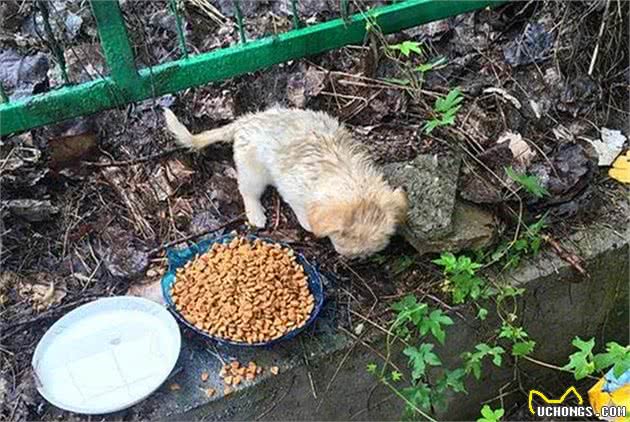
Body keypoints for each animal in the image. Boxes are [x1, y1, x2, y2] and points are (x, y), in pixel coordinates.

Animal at [164, 106, 410, 258]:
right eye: (339, 237)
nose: (350, 257)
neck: (347, 175)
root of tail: (245, 121)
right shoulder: (292, 189)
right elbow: (303, 212)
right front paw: (308, 224)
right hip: (254, 171)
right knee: (247, 191)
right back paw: (256, 214)